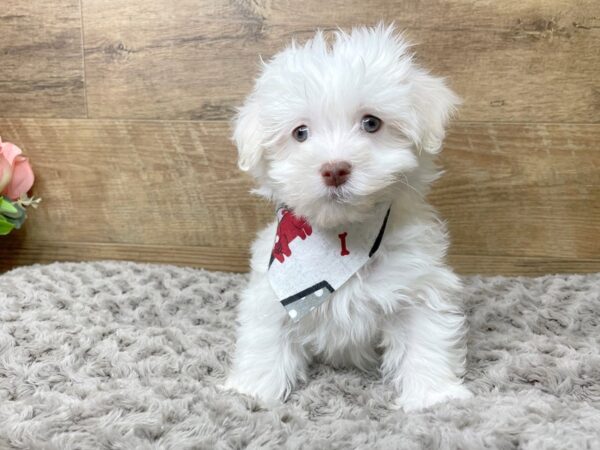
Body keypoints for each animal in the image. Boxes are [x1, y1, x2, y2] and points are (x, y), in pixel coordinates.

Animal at [223, 24, 472, 412]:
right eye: (300, 133)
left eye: (371, 123)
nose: (335, 169)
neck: (342, 237)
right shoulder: (272, 290)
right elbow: (265, 337)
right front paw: (252, 391)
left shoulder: (417, 285)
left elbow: (425, 337)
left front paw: (433, 397)